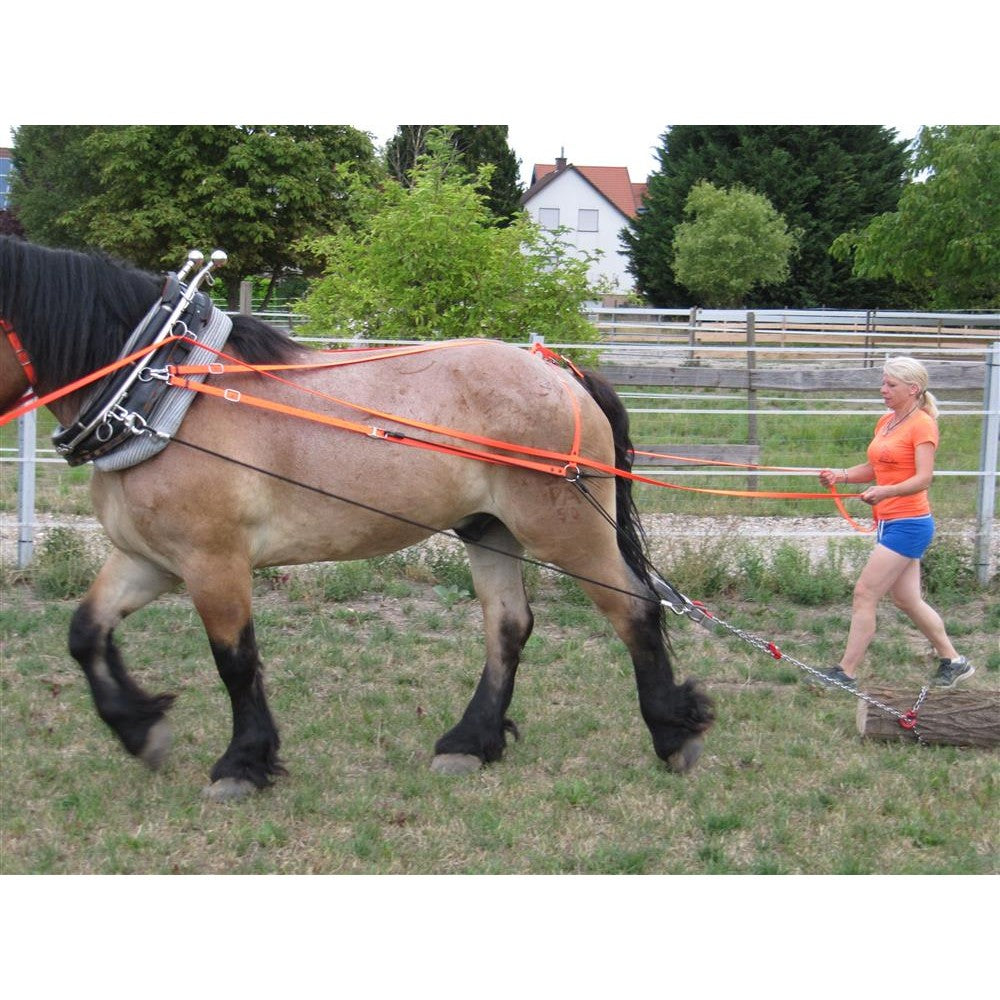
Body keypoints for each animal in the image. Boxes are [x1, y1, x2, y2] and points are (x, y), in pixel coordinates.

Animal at [0, 236, 713, 801]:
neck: (164, 390)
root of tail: (560, 375)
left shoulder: (213, 563)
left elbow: (235, 661)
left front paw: (241, 763)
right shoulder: (149, 559)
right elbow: (85, 632)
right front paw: (140, 727)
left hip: (564, 530)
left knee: (634, 608)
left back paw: (672, 734)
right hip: (490, 529)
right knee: (509, 626)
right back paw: (470, 741)